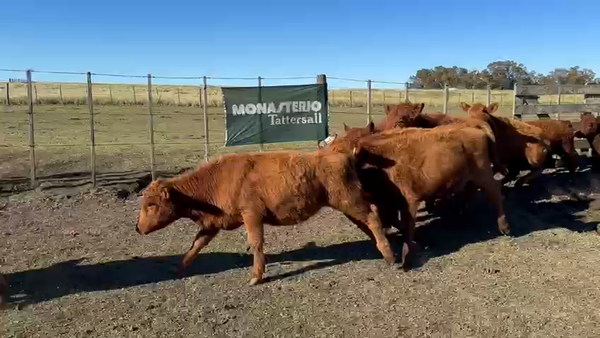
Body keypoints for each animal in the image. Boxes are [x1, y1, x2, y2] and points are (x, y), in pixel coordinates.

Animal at [138, 149, 396, 284]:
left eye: (151, 205)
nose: (138, 229)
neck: (218, 179)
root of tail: (339, 153)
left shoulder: (251, 215)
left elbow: (256, 243)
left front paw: (256, 276)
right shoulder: (213, 225)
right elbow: (196, 245)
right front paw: (178, 269)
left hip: (349, 200)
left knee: (372, 216)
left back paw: (388, 255)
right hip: (347, 204)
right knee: (367, 221)